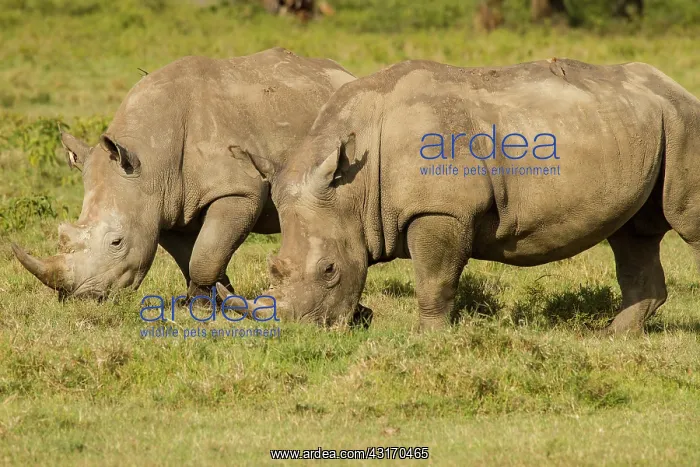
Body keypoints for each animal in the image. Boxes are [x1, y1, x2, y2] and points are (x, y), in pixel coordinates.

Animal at [12, 48, 355, 300]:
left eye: (117, 242)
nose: (82, 299)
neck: (150, 160)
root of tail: (345, 73)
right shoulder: (164, 205)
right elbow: (190, 257)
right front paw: (209, 300)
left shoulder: (239, 190)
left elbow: (205, 254)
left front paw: (204, 305)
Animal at [229, 58, 700, 334]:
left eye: (329, 270)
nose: (303, 332)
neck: (352, 187)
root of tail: (676, 86)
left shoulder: (440, 210)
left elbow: (434, 281)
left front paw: (428, 340)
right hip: (647, 125)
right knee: (633, 236)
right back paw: (613, 336)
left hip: (684, 123)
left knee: (683, 222)